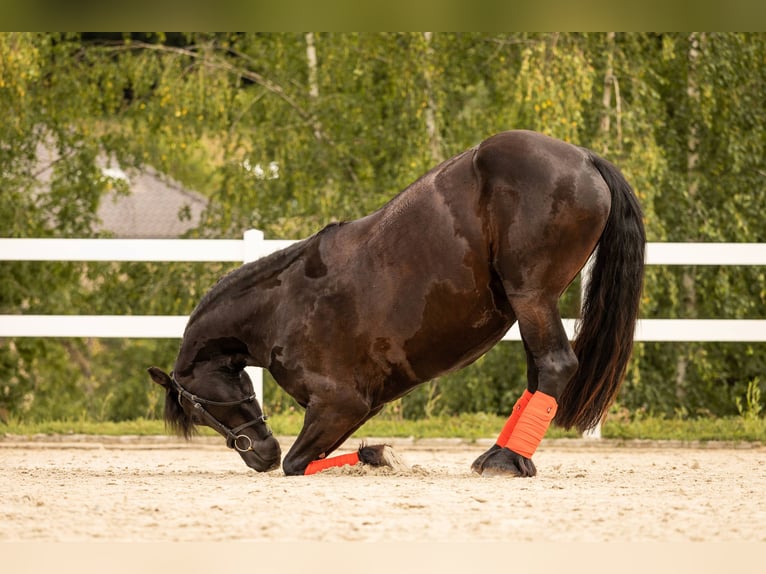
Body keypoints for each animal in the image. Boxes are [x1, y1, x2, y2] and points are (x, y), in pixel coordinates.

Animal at [148, 129, 645, 477]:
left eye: (197, 408)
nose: (261, 455)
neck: (280, 307)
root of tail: (584, 157)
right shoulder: (358, 409)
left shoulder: (340, 405)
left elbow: (299, 464)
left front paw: (377, 454)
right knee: (539, 373)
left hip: (533, 297)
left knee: (556, 365)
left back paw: (504, 458)